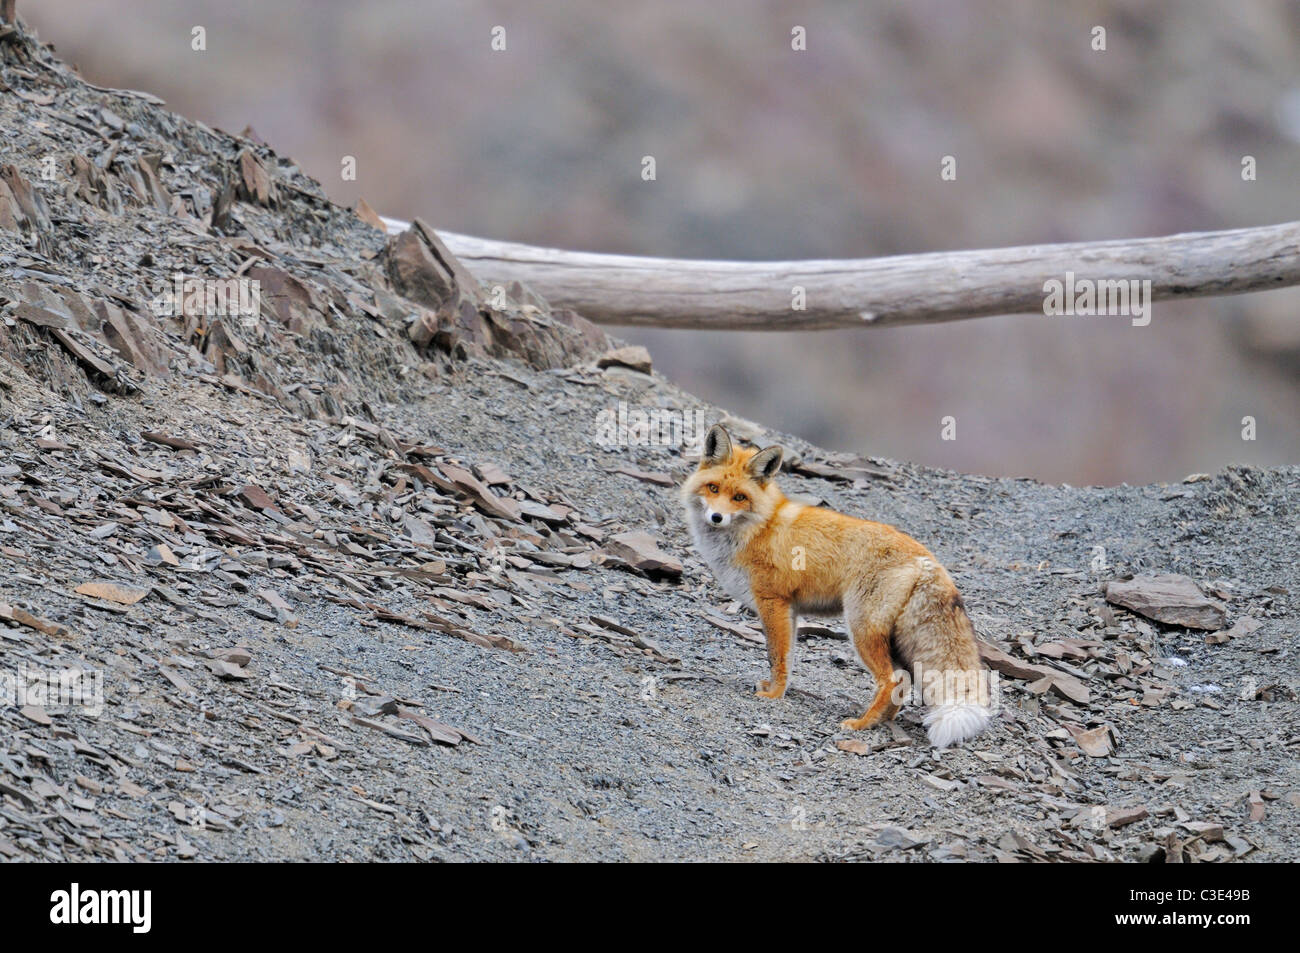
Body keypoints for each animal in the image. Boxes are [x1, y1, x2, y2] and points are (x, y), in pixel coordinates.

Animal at [681, 424, 992, 748]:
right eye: (713, 489)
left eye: (740, 497)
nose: (716, 517)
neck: (757, 527)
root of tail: (928, 559)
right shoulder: (791, 610)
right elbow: (787, 657)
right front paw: (777, 688)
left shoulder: (773, 601)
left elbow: (777, 656)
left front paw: (773, 695)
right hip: (891, 639)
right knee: (904, 680)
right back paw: (883, 721)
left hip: (861, 628)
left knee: (891, 679)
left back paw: (862, 724)